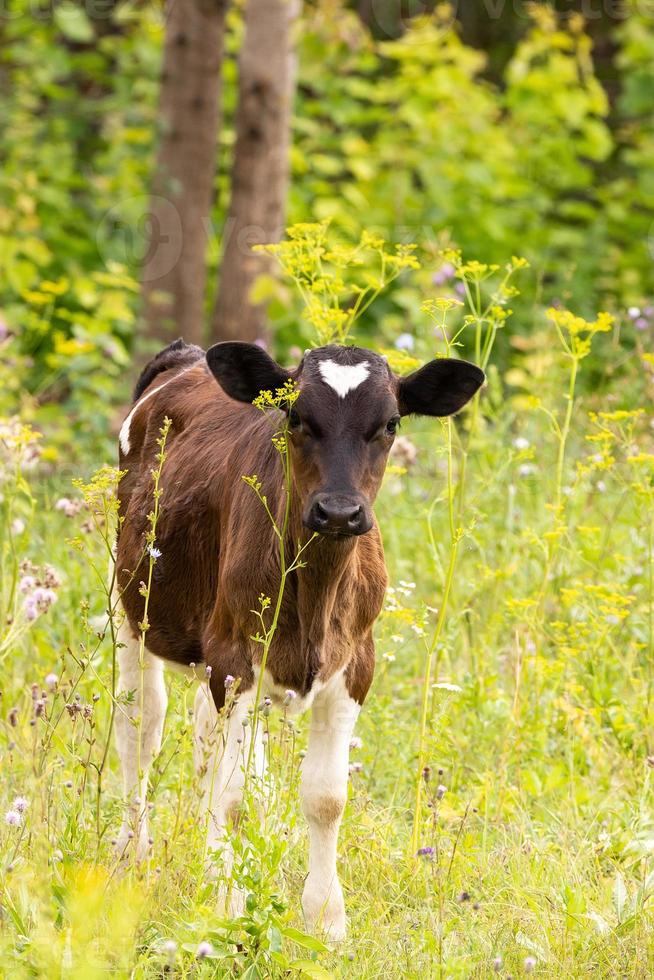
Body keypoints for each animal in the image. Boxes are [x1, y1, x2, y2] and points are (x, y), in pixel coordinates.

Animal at [114, 340, 482, 936]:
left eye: (390, 424)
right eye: (295, 417)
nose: (338, 511)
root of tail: (186, 356)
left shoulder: (355, 667)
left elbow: (324, 797)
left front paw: (326, 919)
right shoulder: (237, 660)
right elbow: (236, 796)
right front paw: (230, 905)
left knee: (206, 741)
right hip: (133, 609)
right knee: (140, 726)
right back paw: (132, 857)